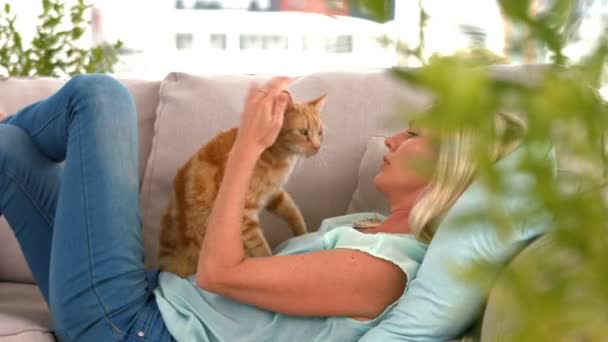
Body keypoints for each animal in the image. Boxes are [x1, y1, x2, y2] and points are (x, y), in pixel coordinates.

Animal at [159, 91, 326, 278]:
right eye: (303, 132)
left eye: (320, 132)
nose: (317, 146)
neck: (275, 153)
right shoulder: (246, 215)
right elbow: (261, 249)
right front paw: (269, 262)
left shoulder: (274, 194)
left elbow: (293, 212)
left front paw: (303, 234)